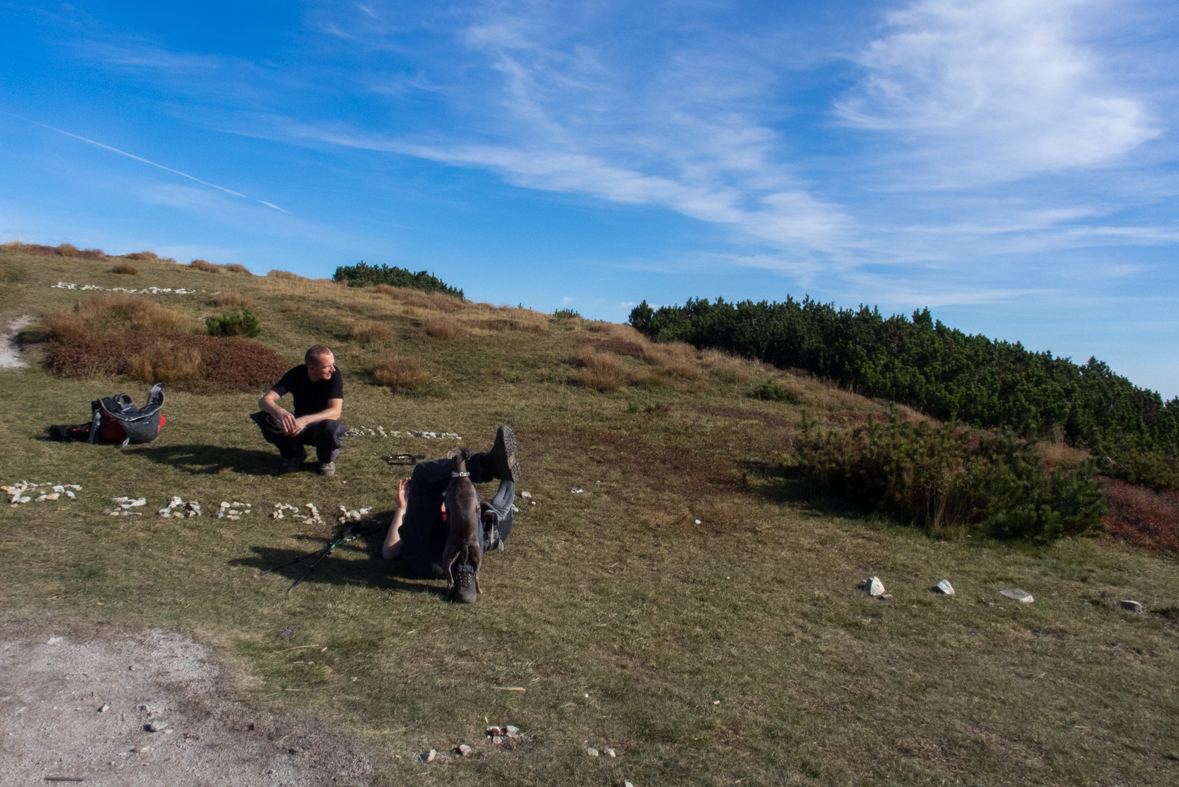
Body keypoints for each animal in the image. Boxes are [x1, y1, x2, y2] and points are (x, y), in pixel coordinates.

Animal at [440, 447, 481, 603]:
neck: (460, 477)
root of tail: (464, 543)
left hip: (449, 555)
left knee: (451, 581)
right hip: (475, 554)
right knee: (476, 577)